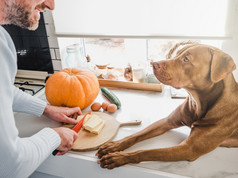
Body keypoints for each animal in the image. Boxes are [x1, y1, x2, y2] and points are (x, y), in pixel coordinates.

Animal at [96, 43, 238, 170]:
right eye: (177, 53)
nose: (154, 64)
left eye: (186, 59)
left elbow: (147, 152)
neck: (197, 103)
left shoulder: (188, 149)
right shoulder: (166, 121)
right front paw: (114, 146)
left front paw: (119, 157)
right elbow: (135, 135)